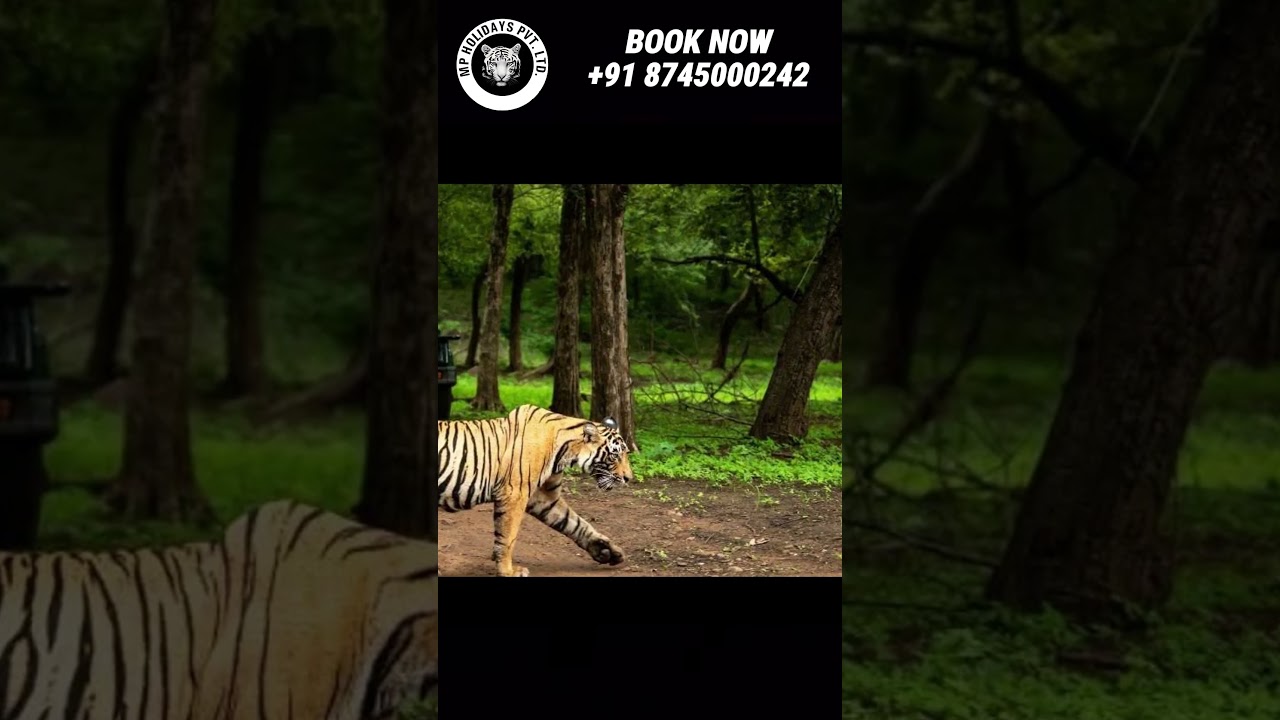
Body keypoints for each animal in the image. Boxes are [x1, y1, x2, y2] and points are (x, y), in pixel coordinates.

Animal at [438, 404, 634, 577]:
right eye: (615, 455)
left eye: (626, 453)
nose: (629, 478)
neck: (564, 453)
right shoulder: (515, 493)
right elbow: (508, 537)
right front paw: (508, 571)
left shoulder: (544, 497)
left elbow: (575, 523)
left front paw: (607, 550)